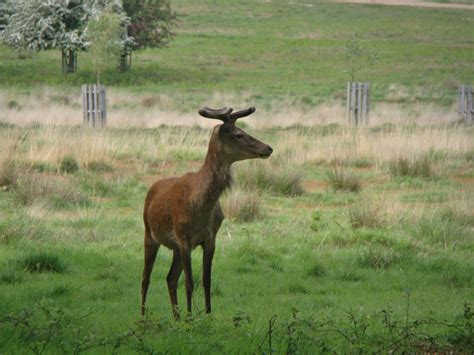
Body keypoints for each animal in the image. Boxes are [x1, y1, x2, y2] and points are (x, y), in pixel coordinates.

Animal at [140, 105, 274, 320]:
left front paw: (208, 315)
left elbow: (206, 280)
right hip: (150, 234)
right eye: (239, 134)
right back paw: (144, 317)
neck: (201, 206)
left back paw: (176, 318)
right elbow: (189, 282)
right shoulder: (184, 239)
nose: (268, 148)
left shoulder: (210, 238)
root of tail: (151, 189)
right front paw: (190, 318)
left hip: (174, 247)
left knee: (170, 278)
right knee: (146, 278)